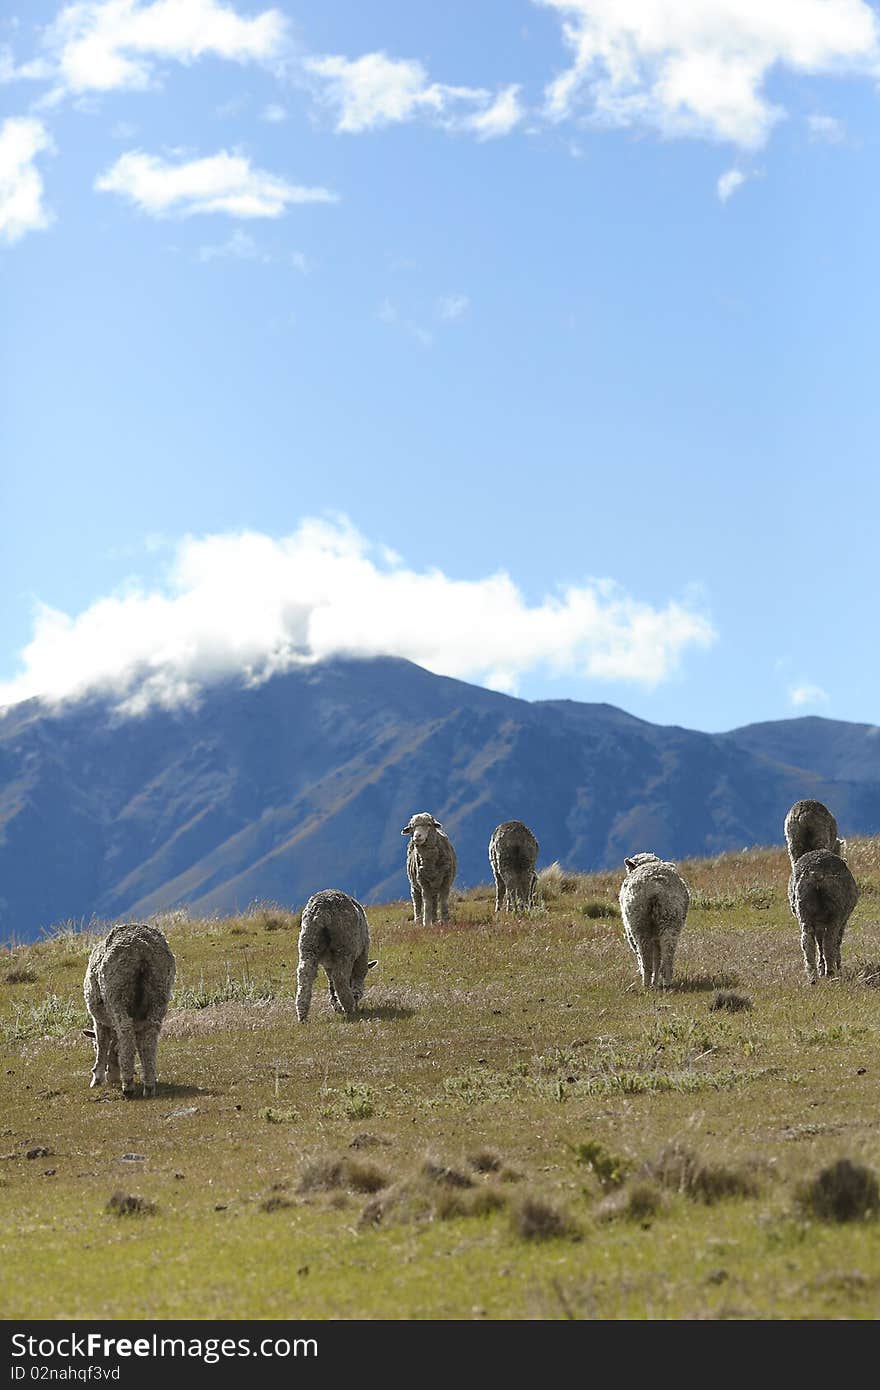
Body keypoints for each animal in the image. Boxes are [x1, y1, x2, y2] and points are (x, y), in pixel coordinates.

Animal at [83, 922, 175, 1095]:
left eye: (92, 1046)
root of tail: (141, 947)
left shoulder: (98, 1021)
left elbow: (102, 1046)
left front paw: (98, 1079)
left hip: (116, 991)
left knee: (125, 1030)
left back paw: (128, 1085)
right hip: (159, 989)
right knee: (151, 1034)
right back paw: (149, 1085)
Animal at [294, 889, 378, 1023]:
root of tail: (322, 911)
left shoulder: (328, 964)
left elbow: (330, 982)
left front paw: (336, 1005)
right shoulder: (362, 955)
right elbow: (358, 976)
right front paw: (354, 997)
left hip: (308, 941)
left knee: (305, 974)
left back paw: (302, 1014)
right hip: (345, 944)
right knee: (339, 977)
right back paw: (349, 1006)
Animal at [617, 845, 686, 989]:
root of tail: (656, 888)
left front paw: (653, 981)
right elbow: (657, 957)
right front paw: (656, 980)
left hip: (639, 922)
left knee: (644, 956)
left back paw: (646, 982)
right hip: (670, 917)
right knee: (667, 953)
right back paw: (666, 982)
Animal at [784, 845, 856, 989]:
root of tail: (817, 873)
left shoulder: (818, 924)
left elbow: (819, 943)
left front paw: (821, 968)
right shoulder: (842, 921)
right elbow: (834, 942)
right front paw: (835, 966)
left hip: (804, 911)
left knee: (807, 943)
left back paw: (813, 978)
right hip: (835, 912)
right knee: (830, 941)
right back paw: (831, 972)